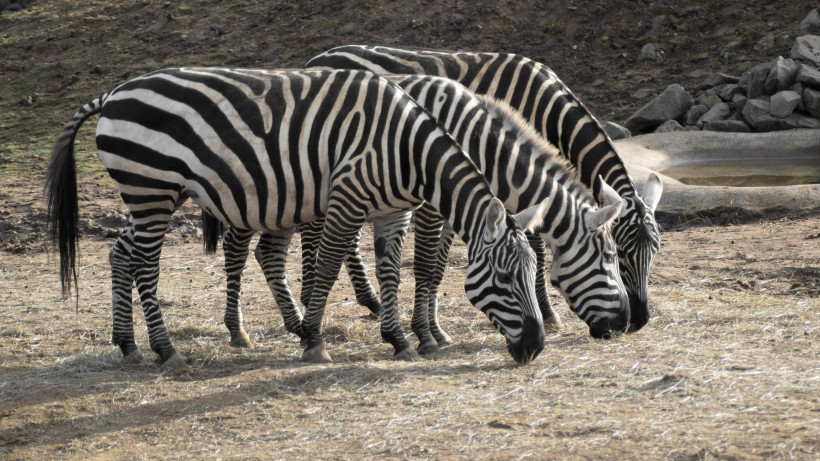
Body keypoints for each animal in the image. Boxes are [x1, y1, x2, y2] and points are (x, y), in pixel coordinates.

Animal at [44, 66, 548, 366]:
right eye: (506, 279)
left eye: (530, 273)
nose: (536, 347)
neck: (407, 150)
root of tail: (112, 93)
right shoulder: (348, 198)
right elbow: (325, 268)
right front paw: (313, 340)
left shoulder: (393, 212)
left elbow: (391, 272)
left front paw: (399, 339)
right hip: (151, 190)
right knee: (145, 265)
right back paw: (166, 351)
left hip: (148, 195)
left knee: (120, 255)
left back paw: (127, 344)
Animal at [208, 74, 632, 352]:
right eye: (612, 258)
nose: (630, 323)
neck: (474, 142)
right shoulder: (430, 206)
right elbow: (427, 266)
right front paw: (424, 335)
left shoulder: (452, 212)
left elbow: (438, 268)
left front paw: (433, 331)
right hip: (261, 194)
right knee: (239, 248)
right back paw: (238, 330)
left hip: (290, 201)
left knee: (270, 252)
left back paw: (301, 320)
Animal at [308, 45, 668, 332]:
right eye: (621, 253)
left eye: (654, 252)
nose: (640, 320)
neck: (544, 107)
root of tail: (319, 57)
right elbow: (536, 249)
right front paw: (548, 313)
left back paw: (369, 300)